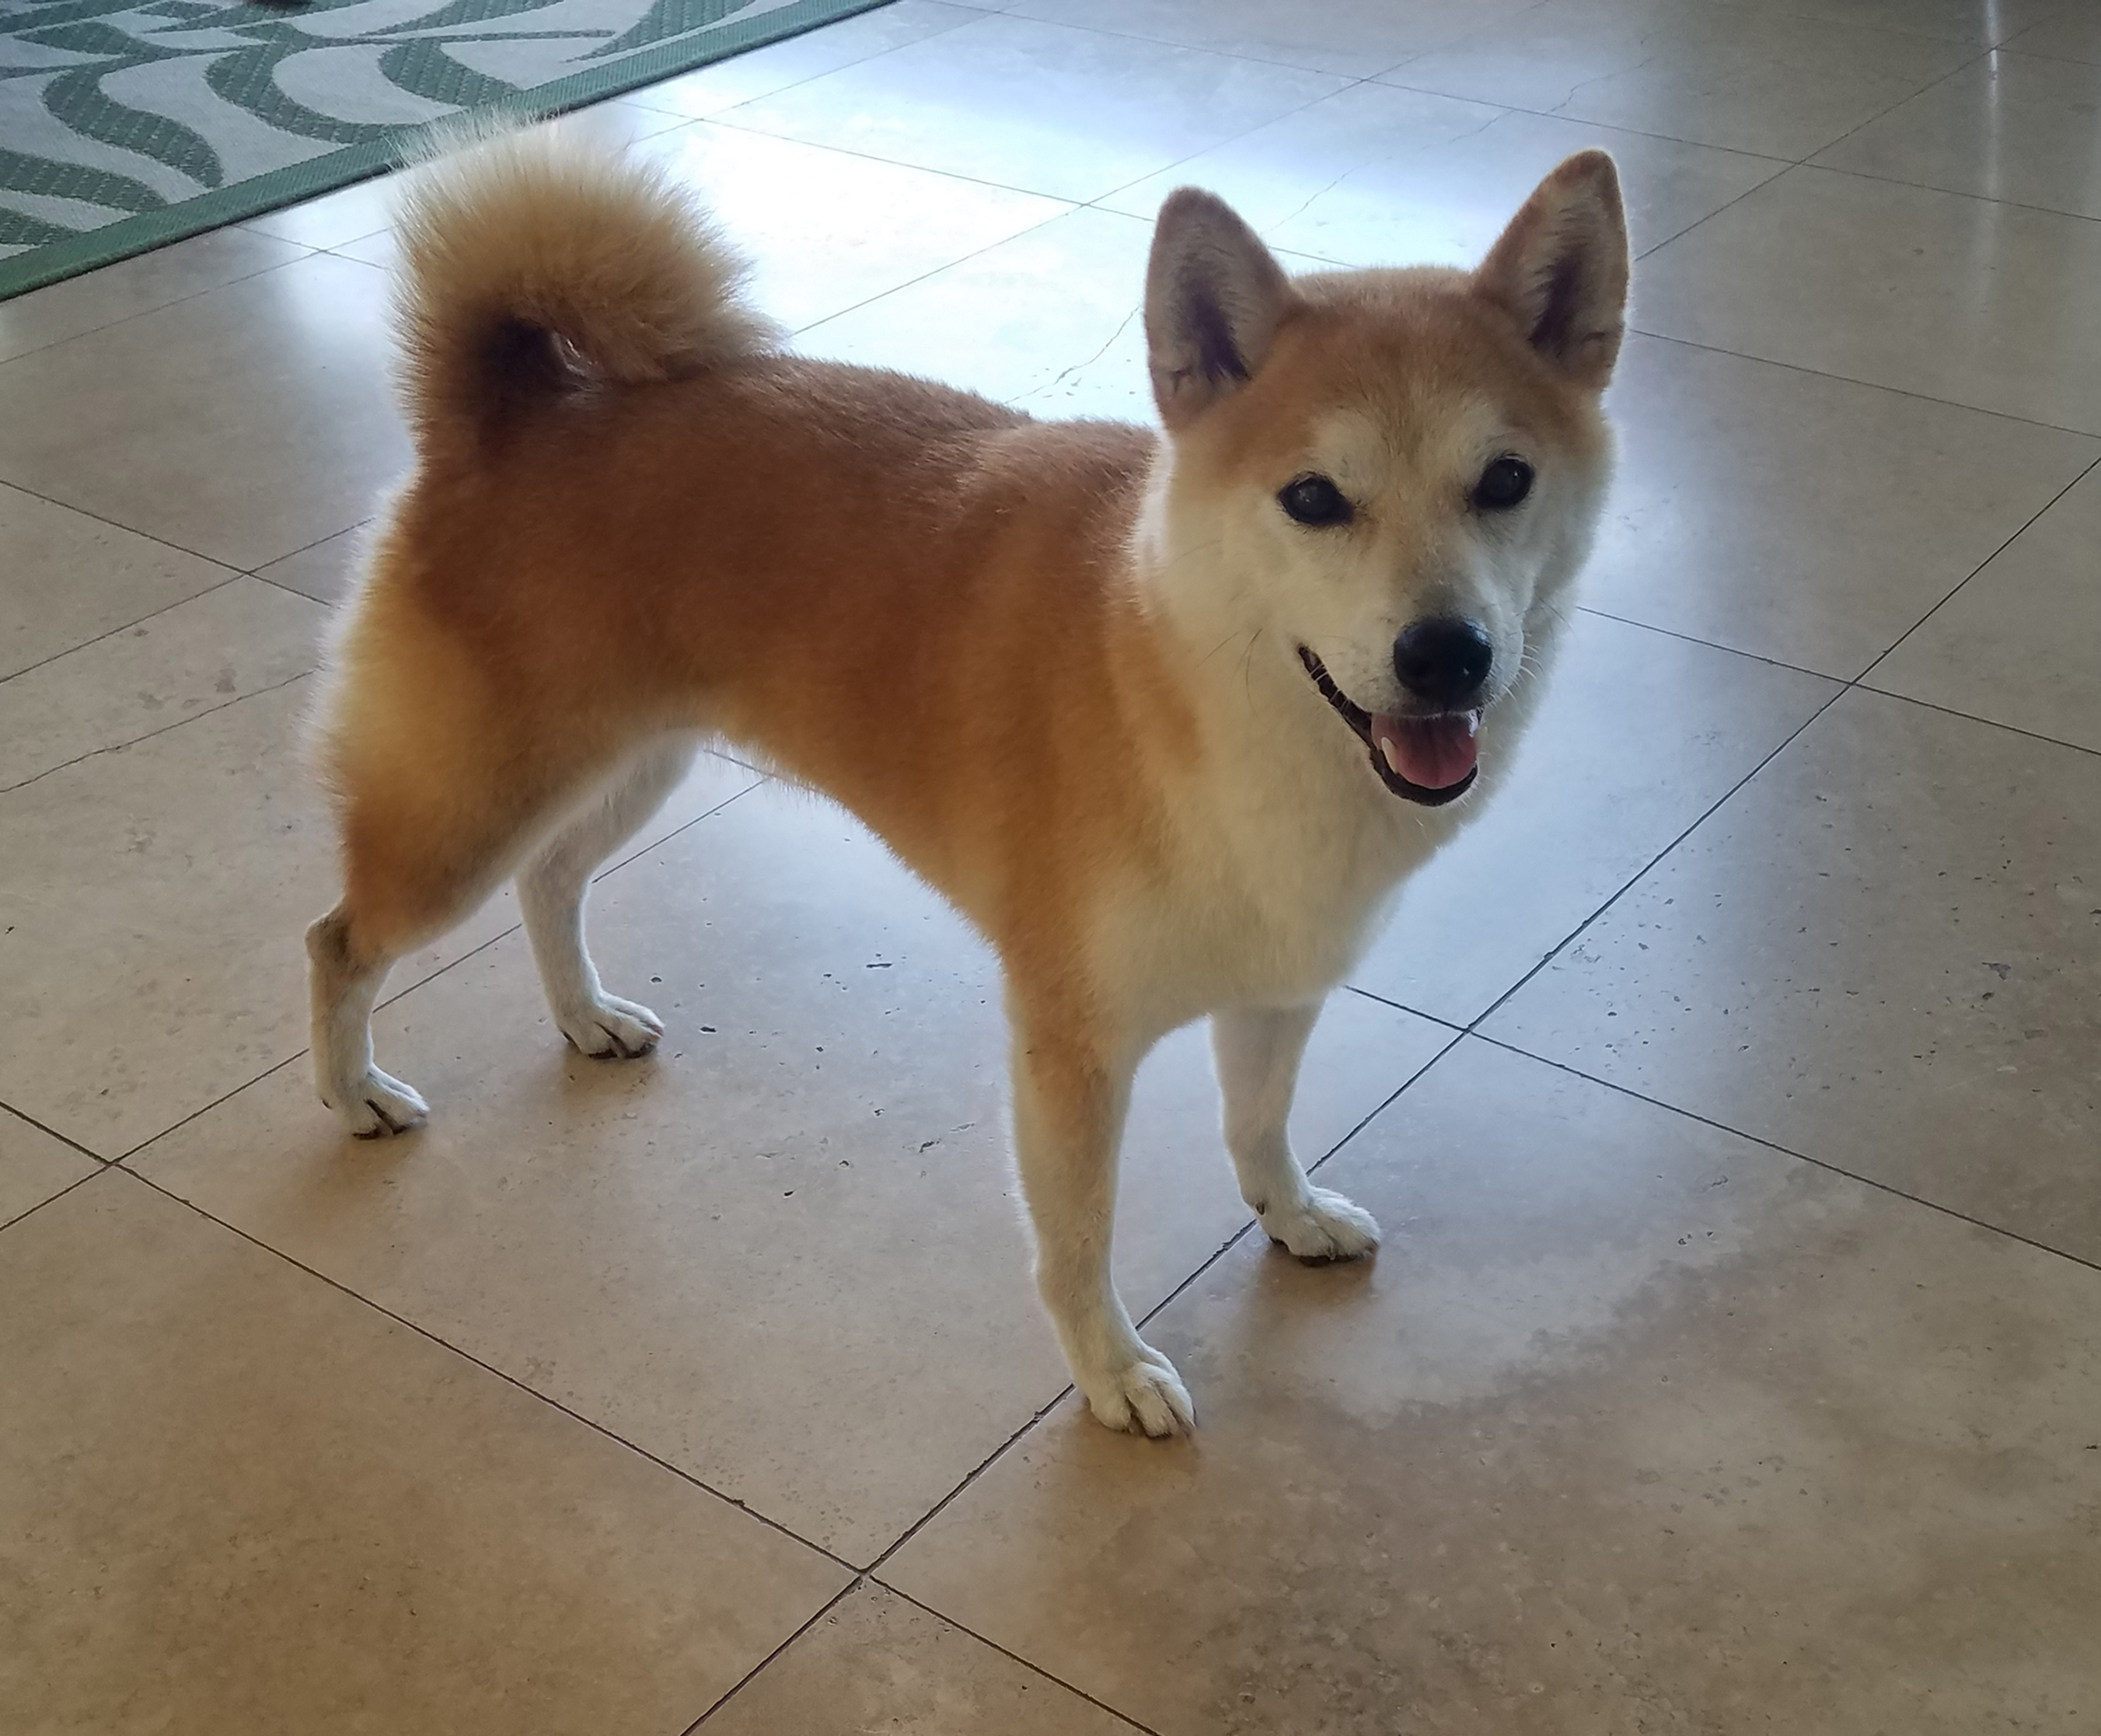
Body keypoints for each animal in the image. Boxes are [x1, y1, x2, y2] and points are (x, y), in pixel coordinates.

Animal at [305, 128, 1630, 1437]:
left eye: (1504, 481)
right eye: (1313, 498)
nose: (1447, 653)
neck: (1196, 693)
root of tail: (507, 418)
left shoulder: (1276, 984)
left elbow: (1257, 1122)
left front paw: (1289, 1213)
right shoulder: (1072, 1045)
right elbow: (1078, 1239)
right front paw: (1110, 1369)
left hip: (631, 765)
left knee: (551, 881)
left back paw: (583, 1015)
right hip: (473, 811)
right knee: (342, 940)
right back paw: (351, 1088)